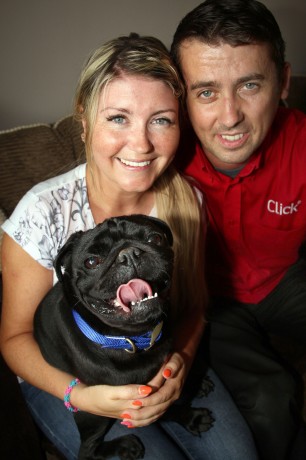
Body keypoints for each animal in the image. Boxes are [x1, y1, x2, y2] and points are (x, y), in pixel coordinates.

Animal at [34, 216, 213, 460]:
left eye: (154, 239)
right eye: (91, 262)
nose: (128, 254)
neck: (131, 339)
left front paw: (194, 380)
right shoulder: (139, 404)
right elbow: (165, 410)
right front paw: (192, 417)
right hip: (93, 417)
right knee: (87, 450)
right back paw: (125, 446)